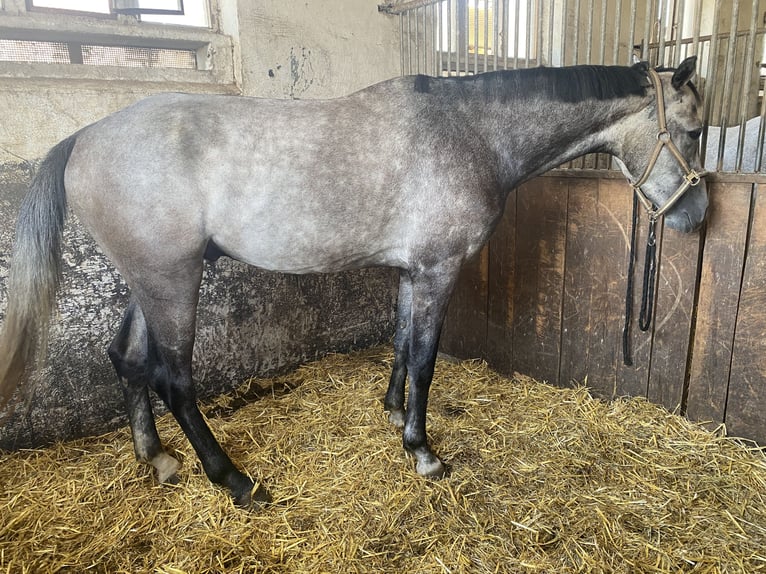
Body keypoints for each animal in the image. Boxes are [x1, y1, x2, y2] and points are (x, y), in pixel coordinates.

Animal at [0, 57, 707, 508]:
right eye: (696, 131)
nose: (697, 216)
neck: (471, 132)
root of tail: (83, 137)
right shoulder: (438, 268)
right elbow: (424, 358)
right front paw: (423, 452)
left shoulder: (412, 270)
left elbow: (401, 344)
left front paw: (394, 415)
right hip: (172, 282)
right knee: (173, 380)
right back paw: (234, 480)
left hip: (148, 281)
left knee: (127, 360)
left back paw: (158, 459)